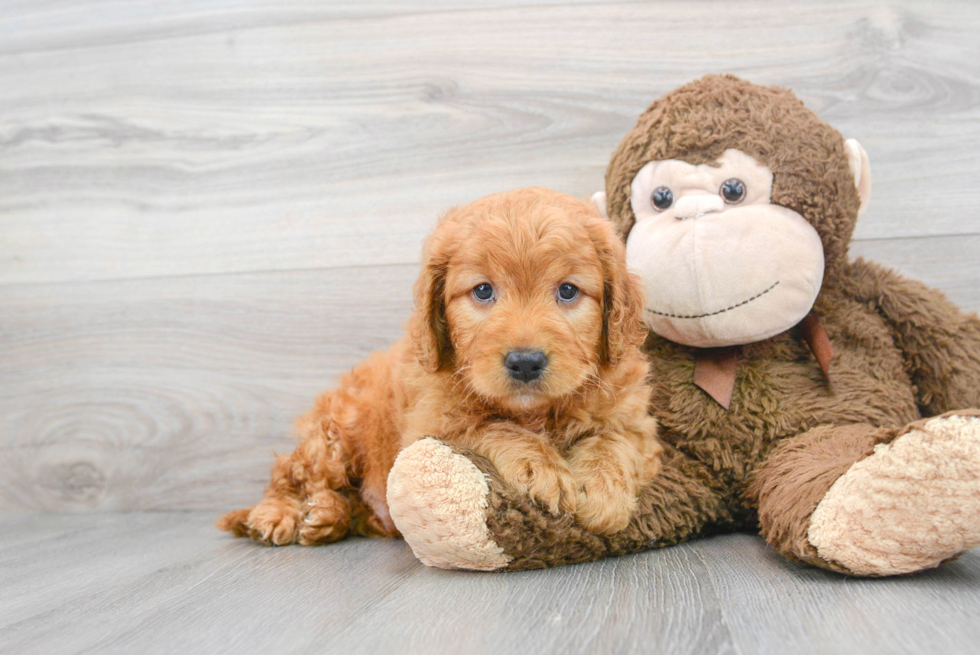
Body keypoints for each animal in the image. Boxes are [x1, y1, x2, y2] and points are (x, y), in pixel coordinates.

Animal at [218, 186, 664, 544]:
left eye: (568, 291)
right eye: (482, 291)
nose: (525, 362)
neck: (536, 412)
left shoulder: (635, 422)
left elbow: (614, 442)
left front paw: (604, 492)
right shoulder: (430, 427)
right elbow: (490, 425)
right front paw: (541, 467)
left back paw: (328, 515)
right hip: (333, 435)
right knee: (289, 474)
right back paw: (279, 515)